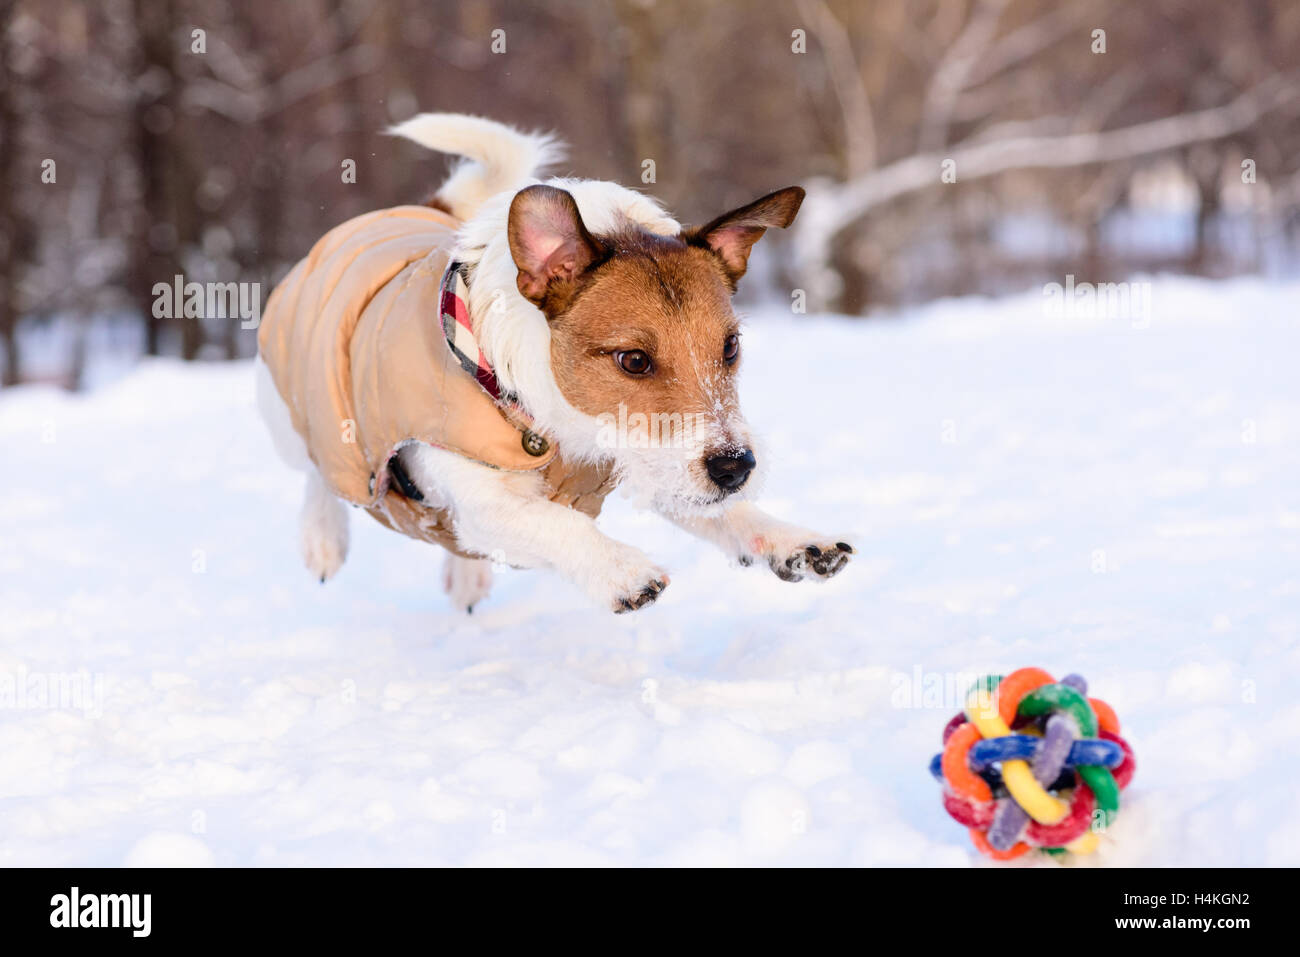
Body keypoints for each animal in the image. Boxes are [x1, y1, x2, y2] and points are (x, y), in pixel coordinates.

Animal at [256, 111, 852, 613]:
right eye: (634, 360)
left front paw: (793, 540)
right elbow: (554, 523)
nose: (736, 468)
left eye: (730, 347)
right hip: (296, 409)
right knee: (318, 470)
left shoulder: (652, 460)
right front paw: (620, 570)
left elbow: (725, 512)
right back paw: (323, 538)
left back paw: (466, 577)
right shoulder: (481, 497)